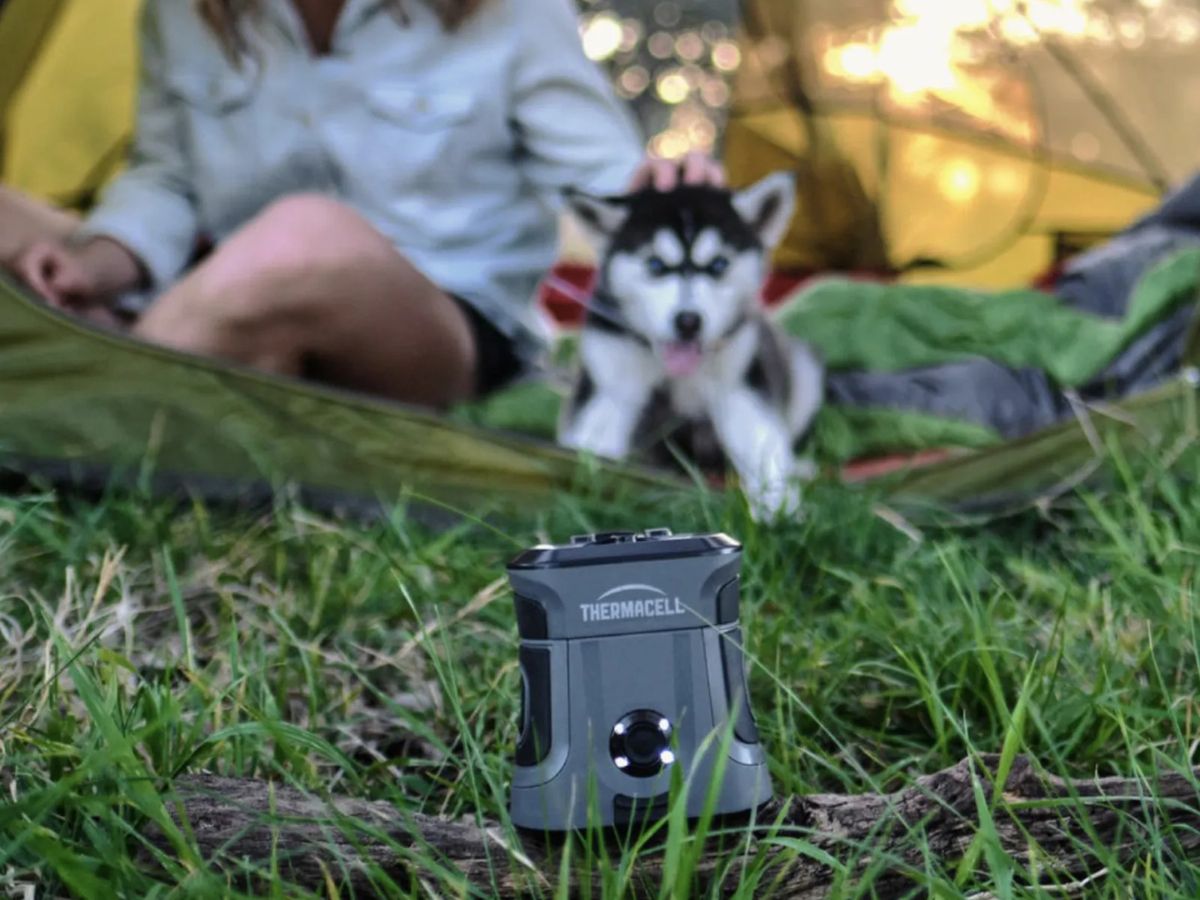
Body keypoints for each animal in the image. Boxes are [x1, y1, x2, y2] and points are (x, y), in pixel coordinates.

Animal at [559, 172, 824, 519]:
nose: (688, 321)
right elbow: (596, 447)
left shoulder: (739, 386)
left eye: (718, 265)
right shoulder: (612, 385)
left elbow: (763, 445)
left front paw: (777, 508)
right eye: (655, 265)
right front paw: (587, 504)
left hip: (804, 372)